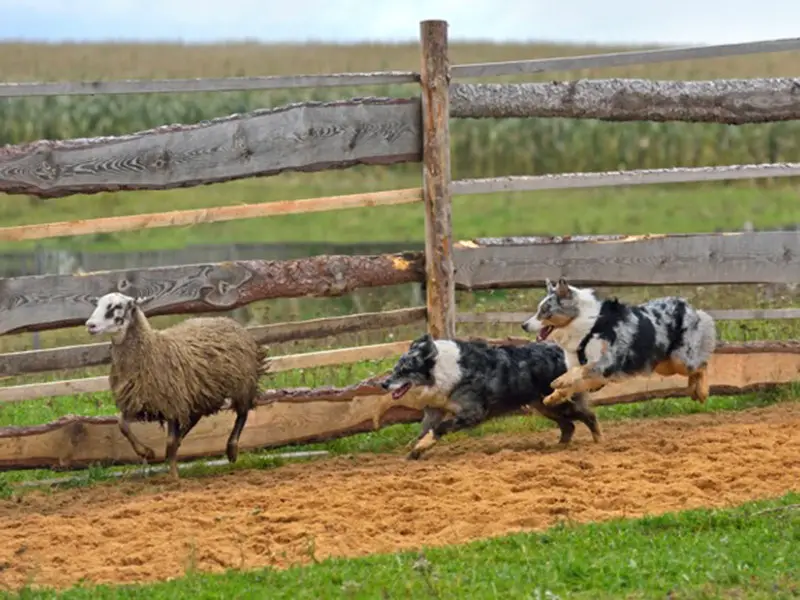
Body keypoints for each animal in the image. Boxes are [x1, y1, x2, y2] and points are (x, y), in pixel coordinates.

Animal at [85, 292, 268, 480]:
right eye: (98, 304)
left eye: (117, 306)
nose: (90, 325)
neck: (151, 348)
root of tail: (228, 320)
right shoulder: (138, 401)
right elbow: (122, 424)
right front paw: (146, 452)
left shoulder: (171, 402)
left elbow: (170, 441)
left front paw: (173, 476)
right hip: (199, 394)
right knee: (195, 418)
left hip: (243, 384)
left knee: (243, 413)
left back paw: (231, 449)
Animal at [382, 332, 600, 460]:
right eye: (396, 368)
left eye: (404, 370)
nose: (383, 383)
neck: (440, 371)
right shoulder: (435, 410)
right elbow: (425, 430)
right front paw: (416, 451)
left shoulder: (473, 413)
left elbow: (440, 427)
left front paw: (422, 446)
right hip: (545, 406)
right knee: (569, 426)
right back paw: (558, 447)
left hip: (559, 402)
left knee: (588, 416)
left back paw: (598, 442)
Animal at [520, 278, 716, 406]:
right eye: (539, 310)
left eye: (545, 311)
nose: (523, 325)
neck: (587, 326)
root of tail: (688, 306)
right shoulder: (597, 376)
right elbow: (574, 382)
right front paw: (554, 397)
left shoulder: (605, 364)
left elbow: (577, 371)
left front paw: (559, 381)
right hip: (664, 365)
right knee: (697, 368)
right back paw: (693, 389)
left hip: (679, 359)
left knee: (703, 364)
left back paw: (702, 391)